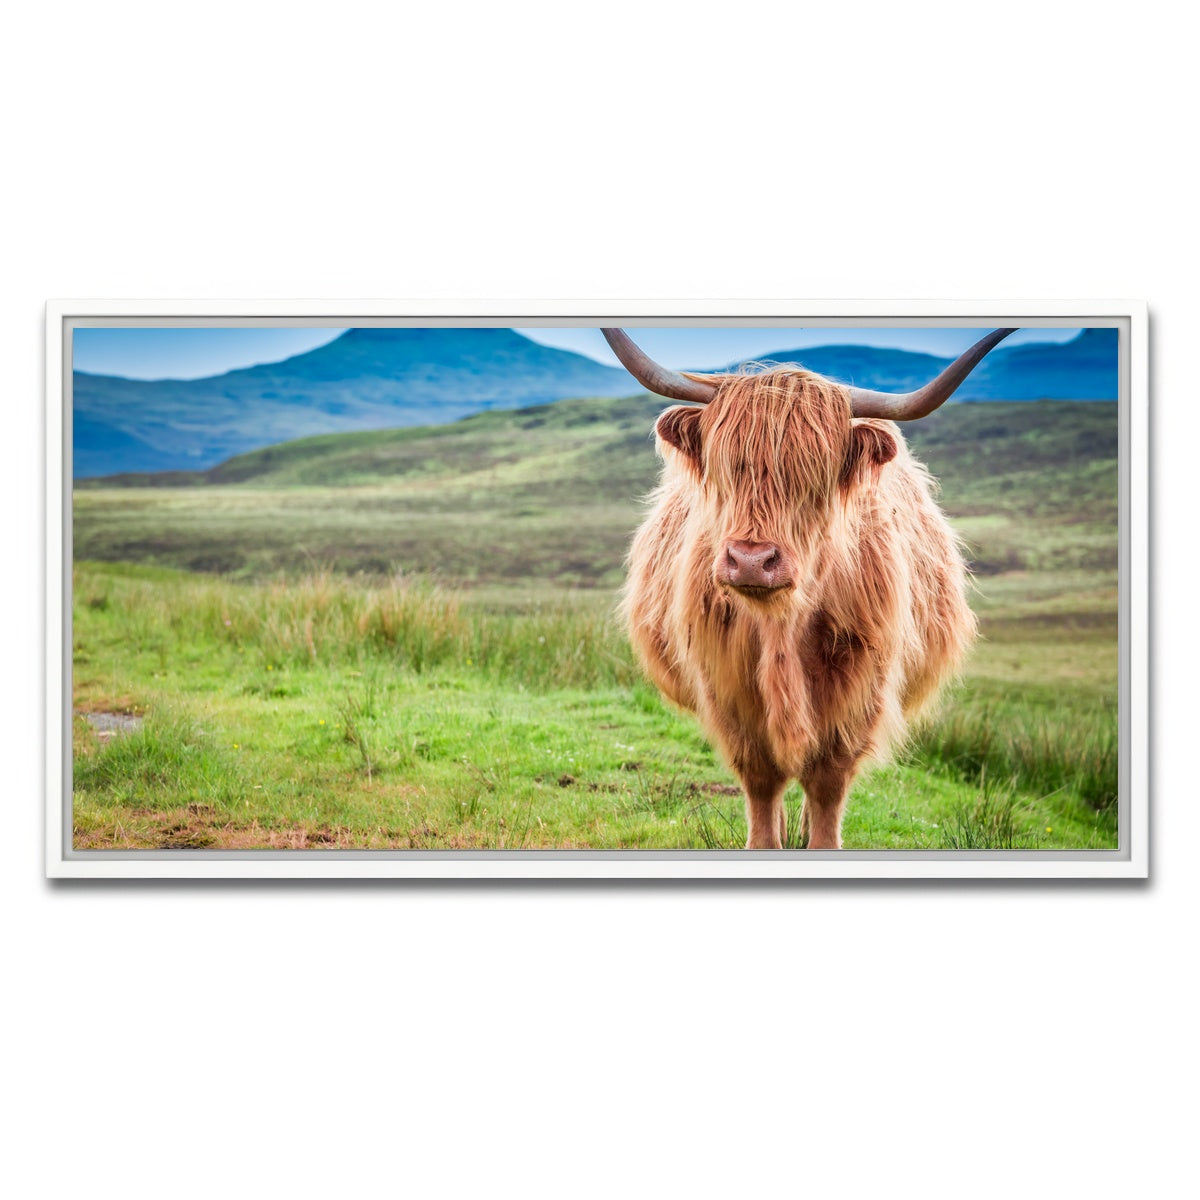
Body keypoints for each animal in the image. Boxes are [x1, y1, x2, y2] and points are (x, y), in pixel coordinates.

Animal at [605, 326, 1015, 849]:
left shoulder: (859, 691)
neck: (781, 626)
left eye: (815, 478)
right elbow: (760, 779)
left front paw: (819, 839)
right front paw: (765, 839)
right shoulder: (725, 688)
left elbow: (827, 783)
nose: (752, 561)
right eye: (726, 468)